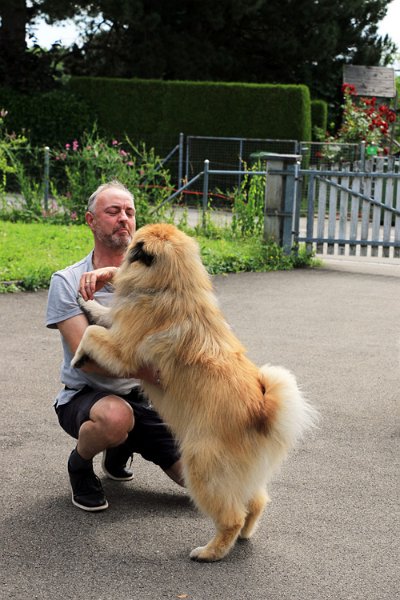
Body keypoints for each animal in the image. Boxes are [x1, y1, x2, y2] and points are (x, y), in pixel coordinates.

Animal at [72, 224, 316, 564]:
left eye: (135, 239)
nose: (129, 238)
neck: (170, 287)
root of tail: (262, 410)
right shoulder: (120, 324)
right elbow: (104, 315)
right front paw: (90, 303)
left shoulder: (123, 353)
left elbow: (91, 332)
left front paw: (77, 357)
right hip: (239, 476)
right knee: (255, 503)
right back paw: (243, 536)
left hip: (201, 468)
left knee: (231, 516)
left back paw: (210, 552)